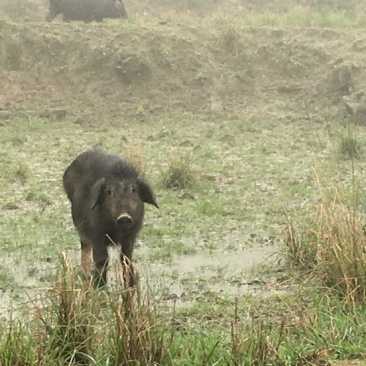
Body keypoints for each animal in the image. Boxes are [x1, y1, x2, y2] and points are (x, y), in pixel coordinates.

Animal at [63, 149, 158, 288]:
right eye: (109, 192)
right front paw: (100, 288)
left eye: (133, 190)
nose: (124, 216)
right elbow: (102, 259)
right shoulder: (96, 234)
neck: (116, 231)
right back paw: (86, 277)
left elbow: (126, 258)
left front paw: (132, 286)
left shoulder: (131, 234)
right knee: (85, 247)